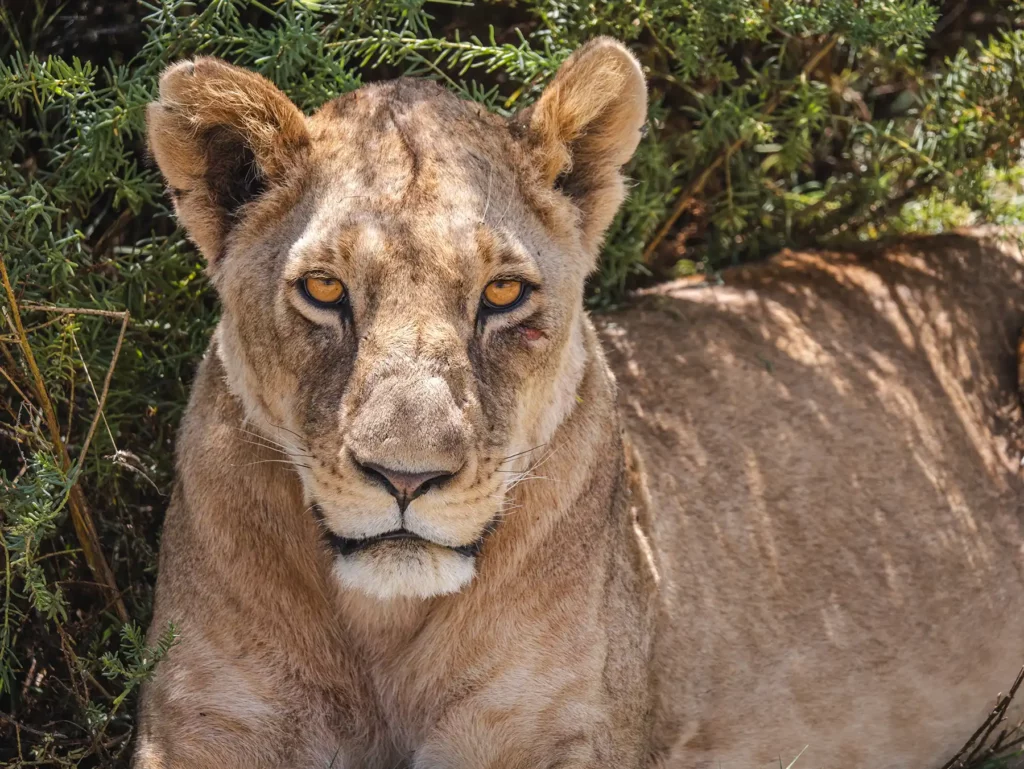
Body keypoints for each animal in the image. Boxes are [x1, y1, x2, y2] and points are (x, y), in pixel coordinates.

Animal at [135, 37, 1024, 769]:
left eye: (502, 293)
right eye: (324, 289)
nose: (407, 478)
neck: (382, 629)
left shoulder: (558, 728)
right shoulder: (202, 720)